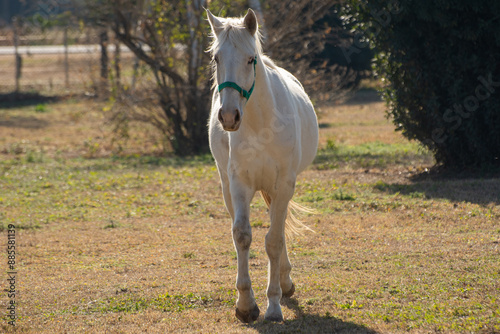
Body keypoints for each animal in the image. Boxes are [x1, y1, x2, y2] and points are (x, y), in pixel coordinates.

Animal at [206, 9, 316, 322]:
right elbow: (242, 236)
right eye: (216, 59)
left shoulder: (283, 185)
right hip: (228, 188)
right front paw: (246, 305)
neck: (261, 125)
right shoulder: (239, 184)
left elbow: (274, 240)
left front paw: (274, 305)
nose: (229, 116)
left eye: (250, 58)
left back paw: (285, 282)